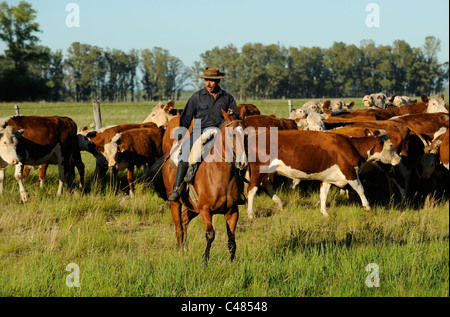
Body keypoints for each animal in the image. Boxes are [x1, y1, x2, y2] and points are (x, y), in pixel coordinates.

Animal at [150, 108, 250, 262]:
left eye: (246, 134)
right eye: (231, 134)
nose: (242, 162)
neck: (221, 176)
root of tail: (168, 156)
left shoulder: (232, 211)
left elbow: (232, 240)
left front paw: (233, 262)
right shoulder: (205, 210)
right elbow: (210, 234)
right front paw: (205, 260)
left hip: (193, 207)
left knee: (184, 219)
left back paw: (185, 249)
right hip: (176, 204)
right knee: (178, 227)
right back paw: (181, 251)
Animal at [246, 128, 400, 217]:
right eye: (391, 145)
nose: (399, 158)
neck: (352, 146)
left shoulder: (328, 178)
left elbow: (323, 194)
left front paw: (324, 212)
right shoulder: (350, 172)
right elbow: (361, 189)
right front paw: (367, 207)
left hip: (268, 171)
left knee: (266, 185)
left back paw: (279, 204)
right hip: (259, 169)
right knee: (252, 189)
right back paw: (251, 213)